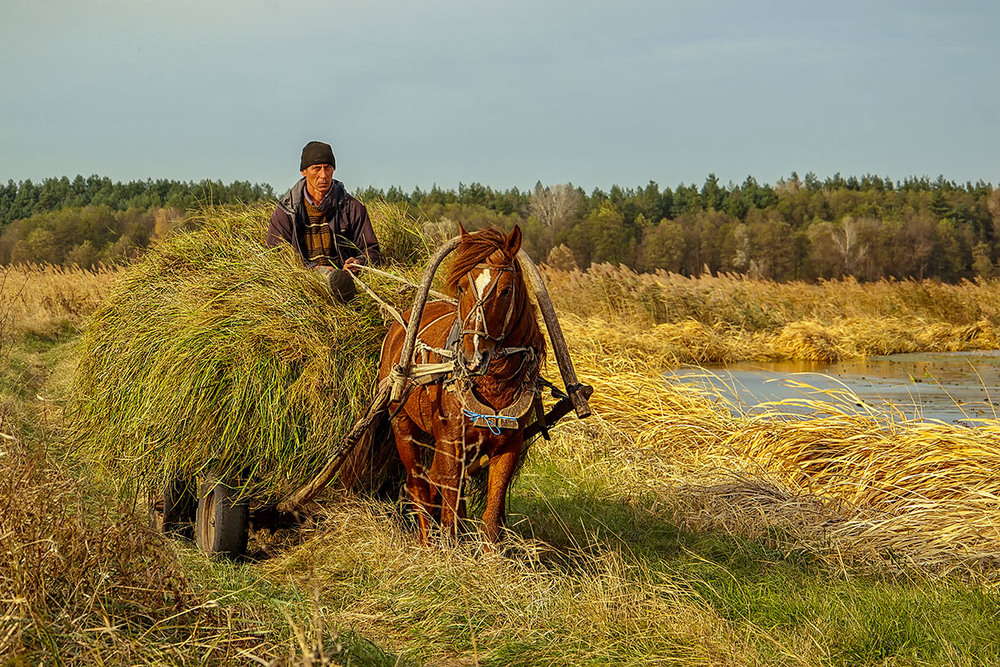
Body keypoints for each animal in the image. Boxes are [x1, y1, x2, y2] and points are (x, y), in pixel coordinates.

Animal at [376, 227, 548, 544]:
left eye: (506, 291)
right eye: (461, 288)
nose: (473, 357)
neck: (492, 382)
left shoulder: (508, 446)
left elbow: (491, 517)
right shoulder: (450, 442)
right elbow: (448, 512)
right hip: (402, 425)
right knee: (418, 485)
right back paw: (426, 542)